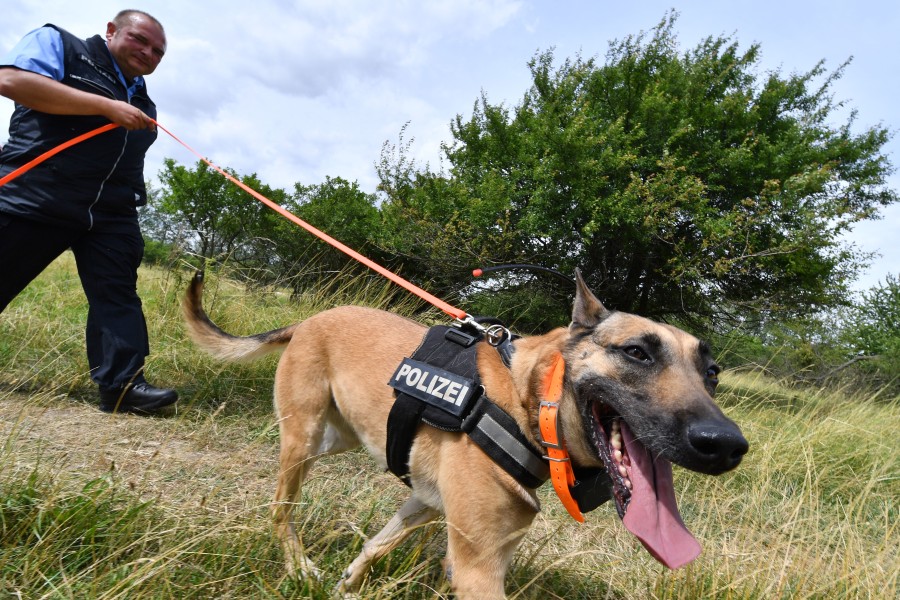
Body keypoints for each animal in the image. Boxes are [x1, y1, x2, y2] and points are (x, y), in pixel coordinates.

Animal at [181, 270, 744, 596]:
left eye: (712, 373)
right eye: (637, 353)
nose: (727, 445)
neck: (523, 399)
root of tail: (309, 320)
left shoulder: (427, 503)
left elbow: (376, 545)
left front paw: (348, 585)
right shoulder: (479, 569)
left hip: (335, 437)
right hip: (302, 442)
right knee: (281, 510)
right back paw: (299, 567)